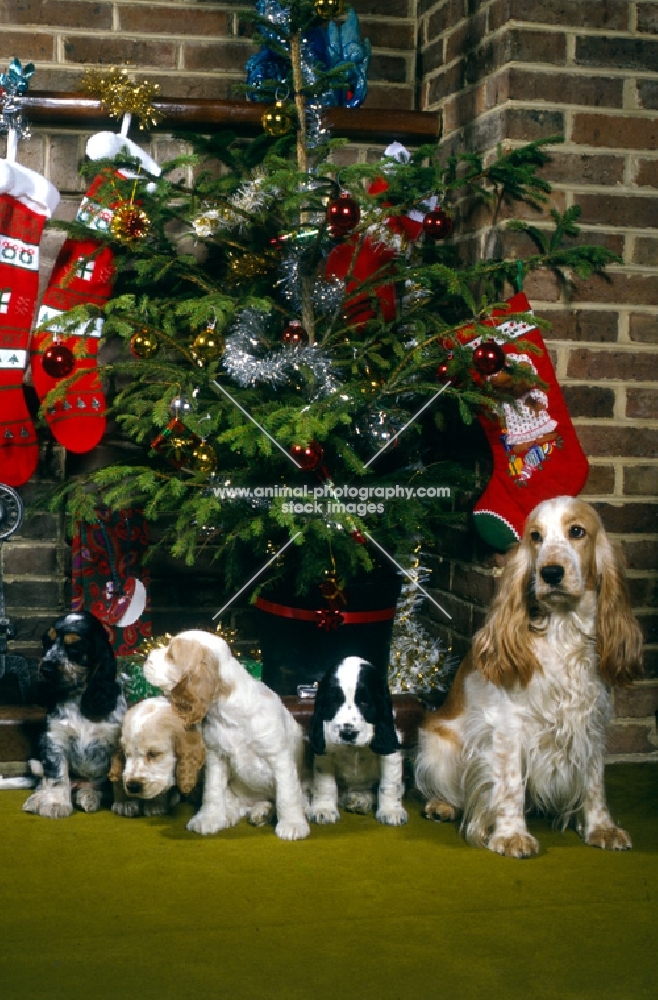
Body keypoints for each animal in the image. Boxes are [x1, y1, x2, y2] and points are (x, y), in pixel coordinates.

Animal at [23, 608, 125, 820]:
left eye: (75, 648)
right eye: (47, 642)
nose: (45, 668)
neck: (79, 697)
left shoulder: (117, 742)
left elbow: (116, 777)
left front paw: (125, 804)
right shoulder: (55, 740)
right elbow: (57, 777)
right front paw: (55, 804)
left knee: (95, 786)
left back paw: (88, 796)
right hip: (37, 761)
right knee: (46, 782)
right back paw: (38, 799)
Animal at [144, 632, 310, 836]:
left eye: (171, 655)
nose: (146, 656)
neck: (228, 714)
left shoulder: (279, 757)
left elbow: (287, 795)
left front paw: (292, 824)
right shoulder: (216, 756)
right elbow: (213, 791)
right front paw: (208, 818)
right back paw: (238, 814)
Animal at [306, 656, 404, 828]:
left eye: (365, 702)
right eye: (333, 702)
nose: (347, 733)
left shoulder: (391, 749)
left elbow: (389, 784)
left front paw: (391, 811)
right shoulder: (325, 751)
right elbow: (325, 784)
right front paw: (323, 809)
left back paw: (360, 801)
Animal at [416, 500, 640, 860]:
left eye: (577, 531)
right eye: (535, 537)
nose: (550, 572)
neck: (562, 630)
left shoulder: (590, 722)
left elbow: (594, 783)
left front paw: (601, 828)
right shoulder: (509, 725)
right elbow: (508, 786)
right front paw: (511, 836)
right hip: (438, 746)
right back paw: (442, 805)